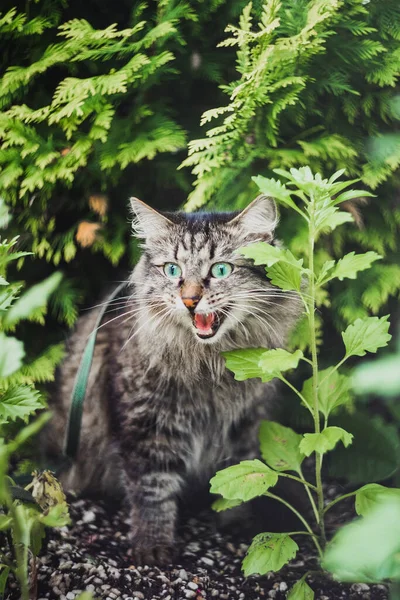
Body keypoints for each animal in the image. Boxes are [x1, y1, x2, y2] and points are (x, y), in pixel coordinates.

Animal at [45, 195, 300, 564]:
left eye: (220, 270)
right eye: (172, 270)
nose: (190, 299)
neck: (211, 363)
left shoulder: (245, 422)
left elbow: (241, 476)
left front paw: (237, 524)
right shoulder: (147, 426)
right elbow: (152, 490)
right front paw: (152, 546)